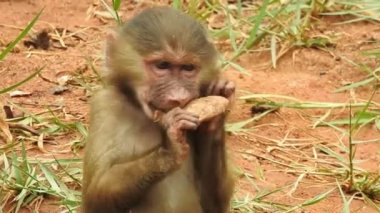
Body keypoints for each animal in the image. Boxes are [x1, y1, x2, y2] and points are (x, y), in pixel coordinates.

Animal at [82, 5, 235, 212]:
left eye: (188, 68)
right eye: (163, 65)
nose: (178, 98)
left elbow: (213, 205)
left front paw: (218, 104)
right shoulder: (105, 107)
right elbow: (94, 197)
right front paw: (171, 148)